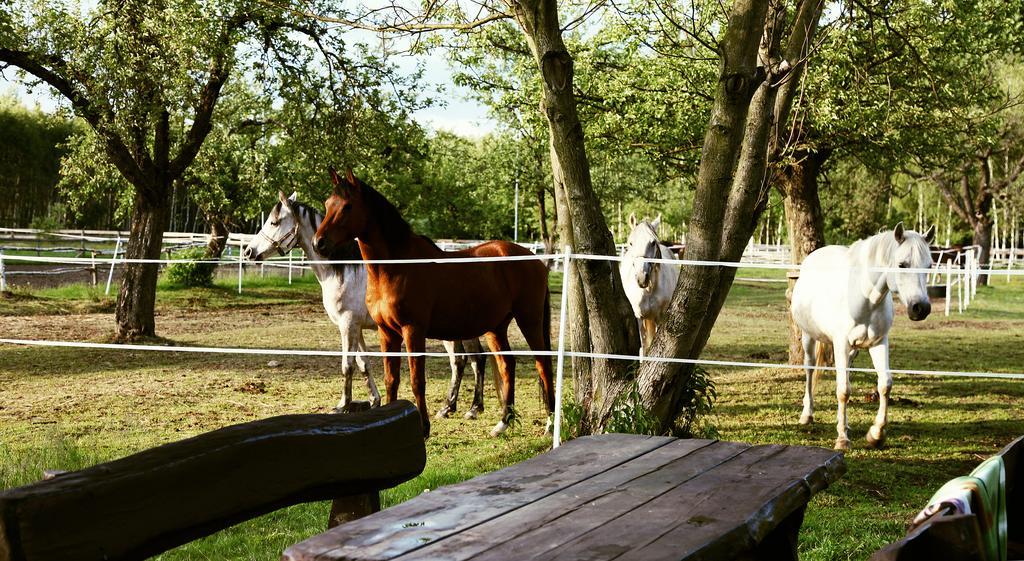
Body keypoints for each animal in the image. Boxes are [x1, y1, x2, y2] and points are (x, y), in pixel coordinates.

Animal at [245, 192, 489, 415]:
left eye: (274, 222)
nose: (249, 251)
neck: (342, 270)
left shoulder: (348, 325)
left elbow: (347, 366)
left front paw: (342, 405)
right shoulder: (357, 328)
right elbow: (363, 364)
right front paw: (374, 400)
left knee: (468, 360)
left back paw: (468, 407)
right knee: (468, 360)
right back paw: (455, 407)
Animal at [311, 166, 557, 438]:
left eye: (347, 206)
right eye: (328, 203)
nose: (318, 243)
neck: (396, 267)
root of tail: (534, 260)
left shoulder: (413, 331)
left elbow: (417, 381)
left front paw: (424, 427)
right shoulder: (387, 333)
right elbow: (391, 379)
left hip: (529, 319)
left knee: (543, 364)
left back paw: (550, 423)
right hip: (496, 327)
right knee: (507, 365)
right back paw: (503, 423)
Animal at [614, 214, 679, 354]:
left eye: (653, 242)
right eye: (631, 242)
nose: (642, 277)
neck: (648, 290)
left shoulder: (660, 317)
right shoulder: (639, 317)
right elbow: (643, 346)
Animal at [790, 222, 937, 450]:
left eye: (929, 266)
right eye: (902, 264)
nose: (920, 308)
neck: (864, 298)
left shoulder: (879, 343)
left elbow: (885, 385)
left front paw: (875, 434)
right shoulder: (840, 344)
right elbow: (843, 390)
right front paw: (842, 439)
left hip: (852, 350)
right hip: (808, 337)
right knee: (809, 369)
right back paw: (807, 414)